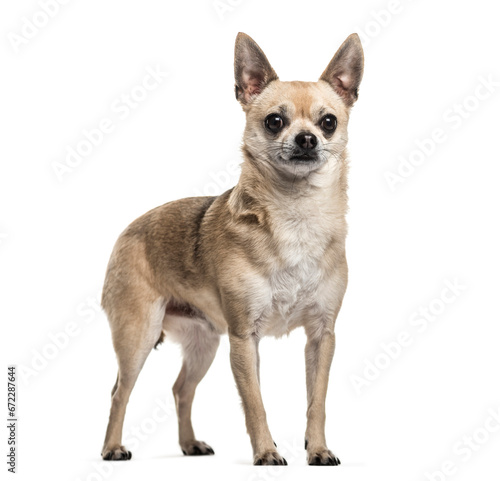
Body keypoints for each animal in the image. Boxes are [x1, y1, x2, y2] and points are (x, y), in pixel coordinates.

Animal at [99, 31, 364, 464]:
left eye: (328, 122)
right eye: (275, 121)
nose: (307, 138)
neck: (295, 217)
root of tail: (126, 232)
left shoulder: (322, 336)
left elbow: (317, 401)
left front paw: (319, 449)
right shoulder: (244, 338)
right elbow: (255, 402)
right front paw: (267, 453)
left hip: (203, 342)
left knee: (181, 388)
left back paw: (189, 443)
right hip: (137, 334)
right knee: (120, 391)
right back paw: (112, 448)